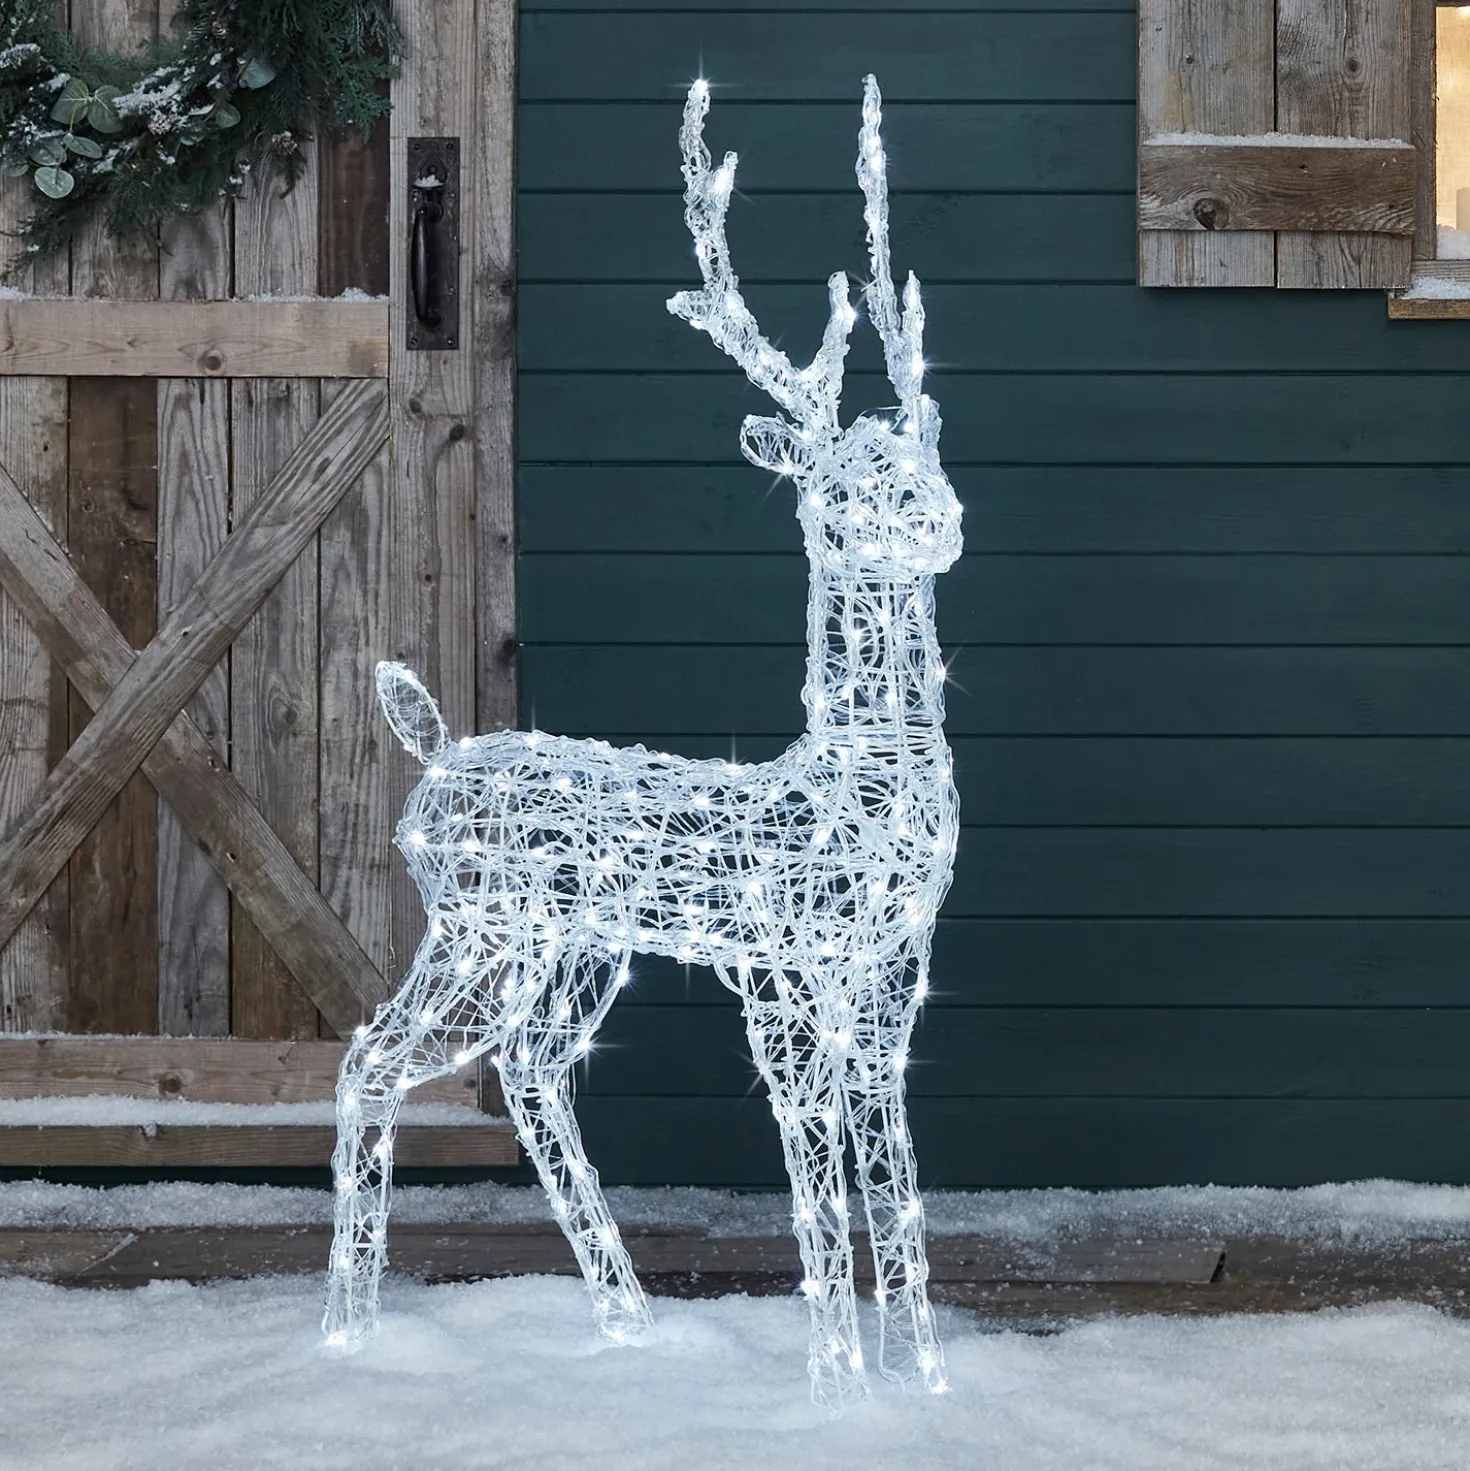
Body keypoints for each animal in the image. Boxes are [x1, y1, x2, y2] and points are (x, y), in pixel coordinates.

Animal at [322, 74, 963, 1413]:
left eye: (925, 453)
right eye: (836, 484)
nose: (938, 518)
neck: (851, 797)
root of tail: (433, 755)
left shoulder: (890, 985)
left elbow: (897, 1180)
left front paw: (928, 1388)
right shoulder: (781, 978)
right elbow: (817, 1179)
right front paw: (839, 1391)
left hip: (576, 950)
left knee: (528, 1072)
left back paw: (626, 1321)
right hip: (482, 929)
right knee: (370, 1059)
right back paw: (347, 1343)